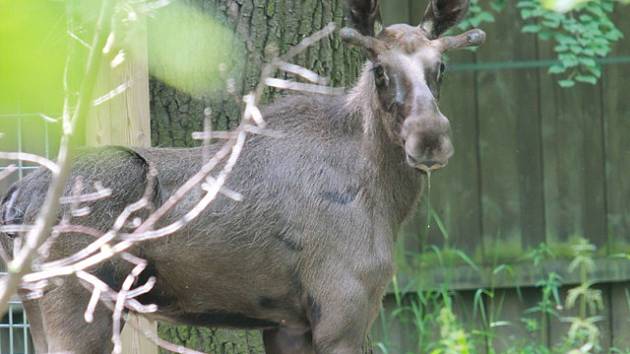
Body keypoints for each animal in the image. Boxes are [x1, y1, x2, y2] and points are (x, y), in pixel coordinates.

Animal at [0, 0, 486, 352]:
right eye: (380, 70)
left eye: (440, 68)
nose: (431, 138)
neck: (387, 200)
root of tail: (15, 205)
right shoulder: (344, 309)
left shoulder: (288, 323)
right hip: (80, 301)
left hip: (35, 301)